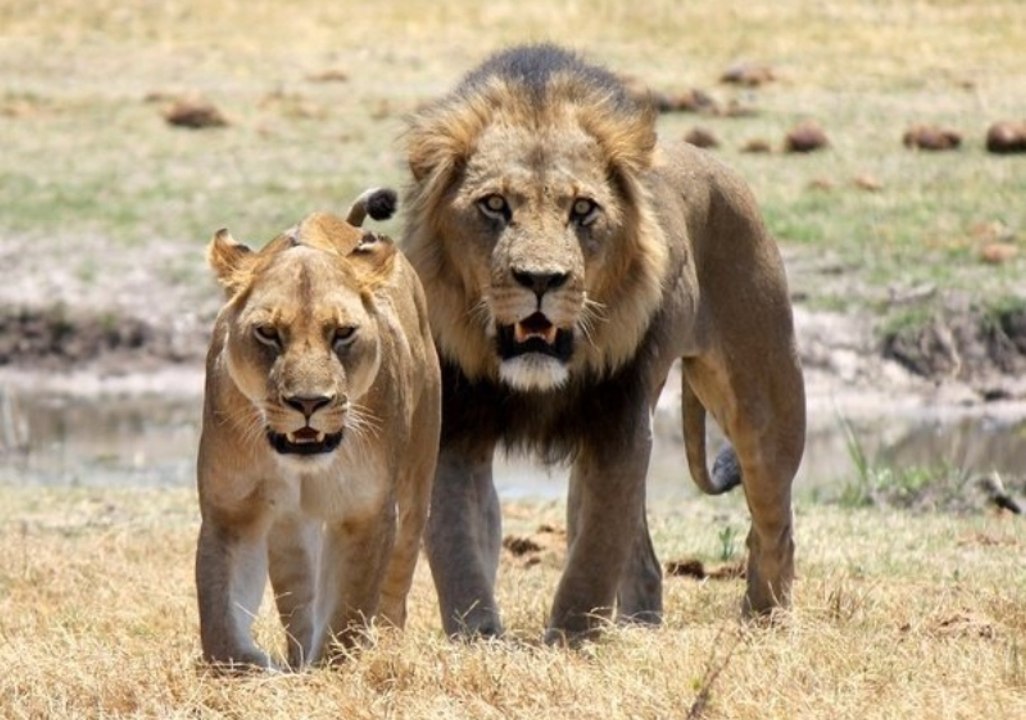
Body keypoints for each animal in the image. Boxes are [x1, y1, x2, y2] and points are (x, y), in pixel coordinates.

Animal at [195, 188, 440, 669]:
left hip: (415, 489)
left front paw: (331, 669)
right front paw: (258, 668)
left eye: (342, 333)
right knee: (299, 595)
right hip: (290, 525)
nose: (308, 403)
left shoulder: (365, 511)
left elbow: (348, 609)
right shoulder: (230, 511)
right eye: (268, 332)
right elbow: (220, 623)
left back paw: (387, 648)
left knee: (396, 585)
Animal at [402, 44, 805, 642]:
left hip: (767, 406)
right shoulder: (458, 427)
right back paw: (642, 630)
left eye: (583, 209)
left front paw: (569, 643)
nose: (540, 279)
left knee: (773, 527)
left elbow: (593, 557)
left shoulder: (618, 423)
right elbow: (459, 549)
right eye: (495, 205)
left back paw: (763, 624)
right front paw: (479, 640)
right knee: (647, 561)